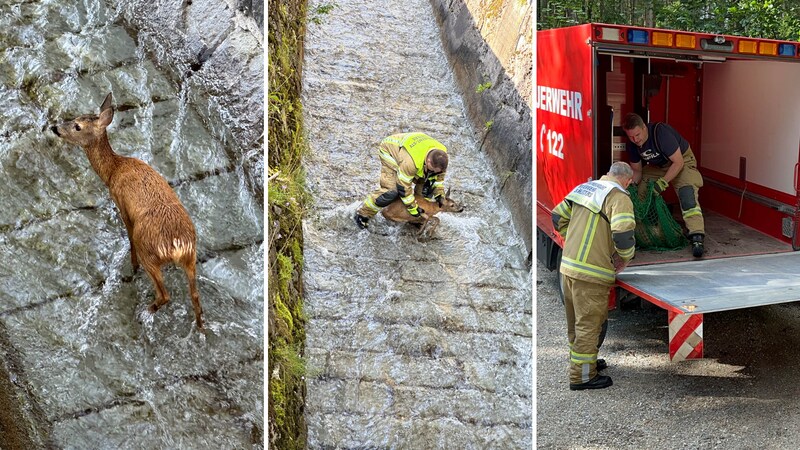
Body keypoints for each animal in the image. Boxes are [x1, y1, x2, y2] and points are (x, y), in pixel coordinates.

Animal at [50, 92, 205, 330]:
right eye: (75, 118)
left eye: (77, 126)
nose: (55, 127)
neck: (113, 170)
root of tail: (178, 243)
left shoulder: (121, 203)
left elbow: (129, 236)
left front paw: (132, 266)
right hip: (191, 257)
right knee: (195, 296)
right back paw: (200, 327)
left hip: (149, 250)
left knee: (165, 294)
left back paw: (145, 312)